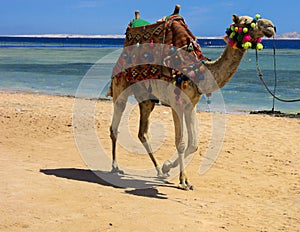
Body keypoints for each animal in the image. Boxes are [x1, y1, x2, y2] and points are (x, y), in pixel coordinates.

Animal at [107, 5, 274, 190]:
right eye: (246, 22)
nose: (271, 26)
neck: (197, 71)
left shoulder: (190, 105)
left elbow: (193, 144)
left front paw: (167, 167)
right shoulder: (176, 104)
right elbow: (180, 143)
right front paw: (183, 181)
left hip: (146, 97)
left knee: (143, 133)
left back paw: (158, 171)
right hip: (120, 86)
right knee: (115, 126)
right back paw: (115, 167)